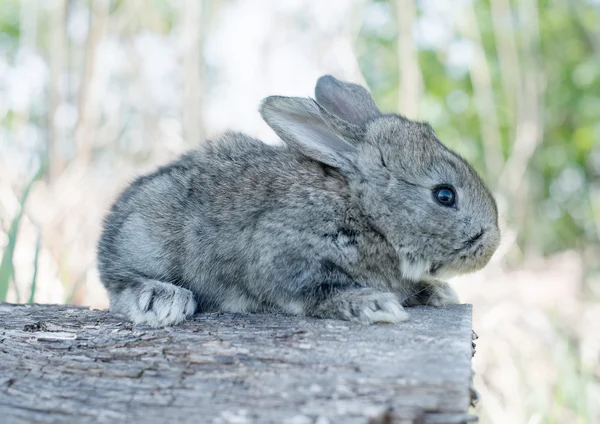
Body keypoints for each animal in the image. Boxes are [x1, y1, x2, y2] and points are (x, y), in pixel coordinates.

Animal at [97, 75, 502, 328]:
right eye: (445, 195)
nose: (492, 245)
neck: (365, 211)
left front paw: (438, 293)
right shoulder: (284, 257)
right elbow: (317, 292)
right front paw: (373, 305)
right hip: (146, 241)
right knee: (120, 287)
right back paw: (162, 299)